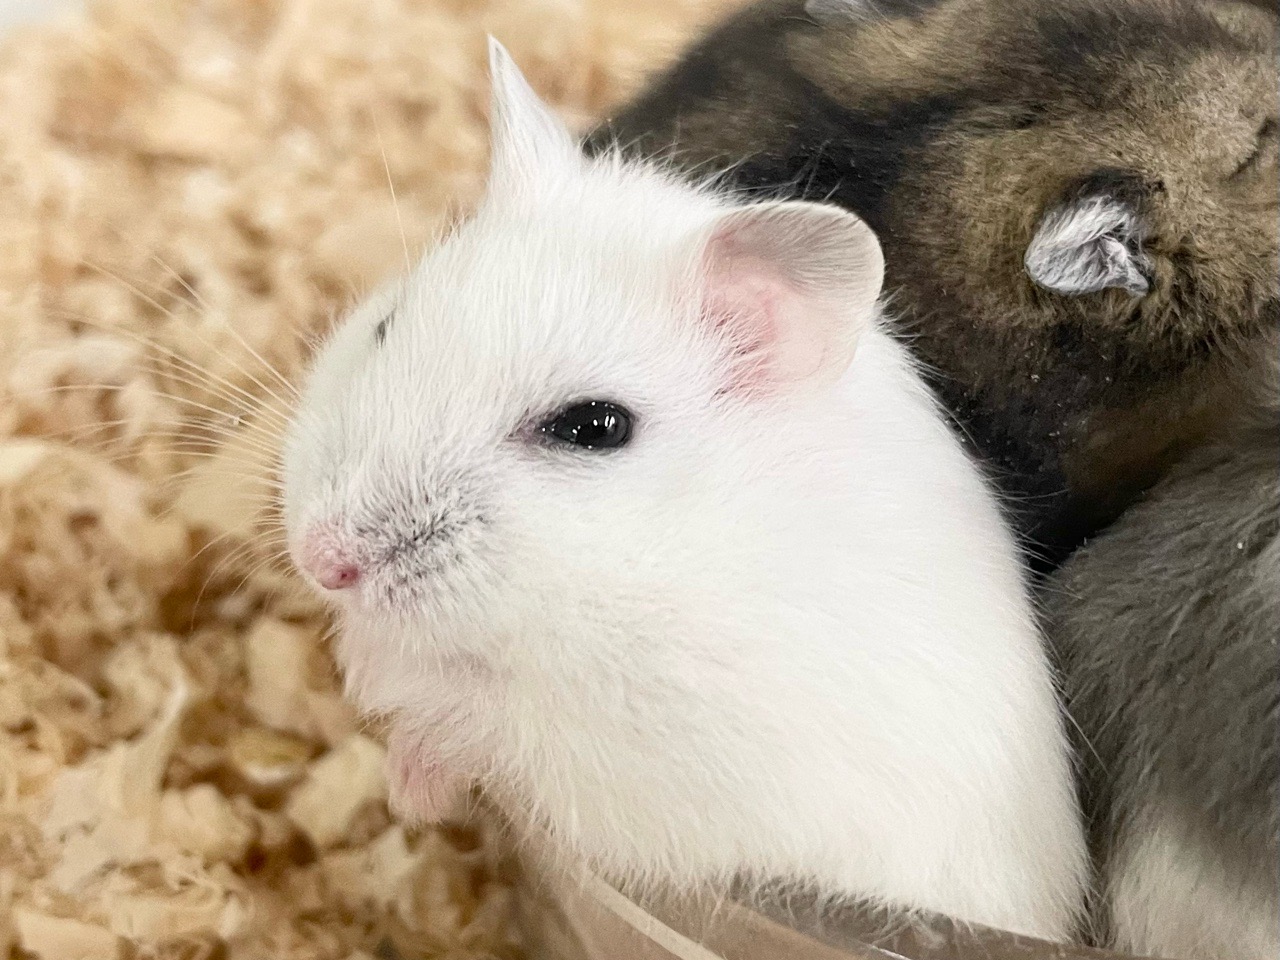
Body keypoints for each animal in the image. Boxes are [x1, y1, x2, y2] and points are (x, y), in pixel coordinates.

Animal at [282, 41, 1086, 939]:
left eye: (593, 427)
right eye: (388, 324)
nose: (320, 561)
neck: (667, 560)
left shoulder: (646, 761)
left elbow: (483, 718)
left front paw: (404, 775)